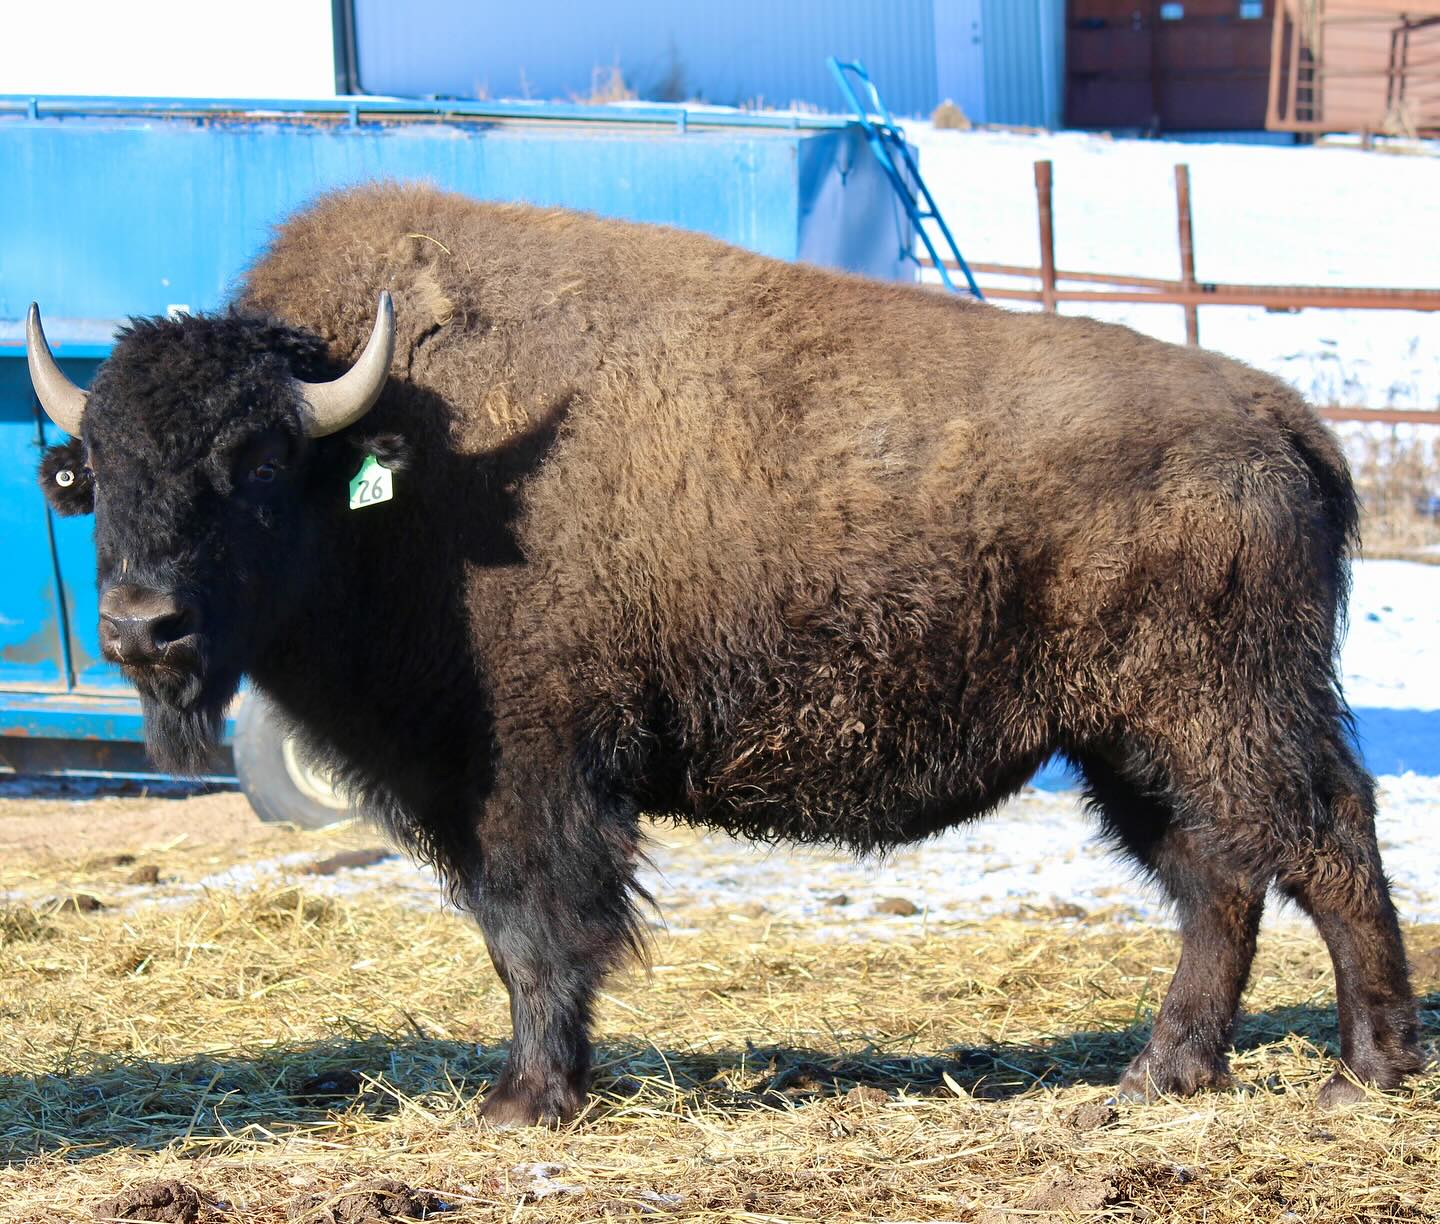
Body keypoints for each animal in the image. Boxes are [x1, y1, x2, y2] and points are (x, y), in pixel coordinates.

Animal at [29, 183, 1424, 1125]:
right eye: (89, 470)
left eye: (257, 462)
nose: (143, 627)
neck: (394, 461)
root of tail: (1290, 424)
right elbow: (510, 930)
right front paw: (536, 1088)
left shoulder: (533, 775)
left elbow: (540, 930)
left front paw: (528, 1099)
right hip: (1129, 740)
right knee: (1219, 878)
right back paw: (1164, 1073)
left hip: (1221, 711)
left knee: (1323, 841)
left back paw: (1365, 1070)